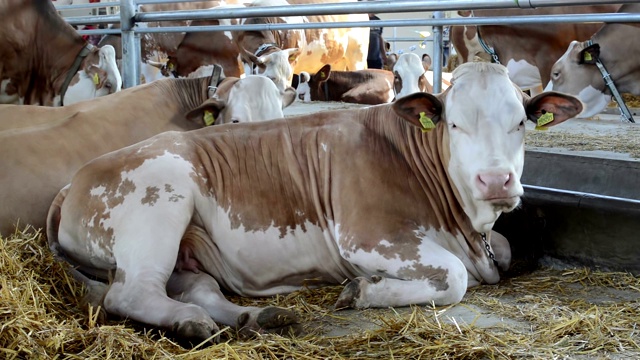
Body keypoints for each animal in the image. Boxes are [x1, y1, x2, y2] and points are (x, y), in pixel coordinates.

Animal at [47, 62, 584, 344]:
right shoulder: (365, 234)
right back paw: (193, 323)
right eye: (455, 123)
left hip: (186, 249)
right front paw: (361, 291)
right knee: (130, 294)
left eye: (520, 122)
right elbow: (452, 277)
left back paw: (252, 318)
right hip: (160, 205)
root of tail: (74, 180)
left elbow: (504, 249)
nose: (496, 180)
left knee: (196, 287)